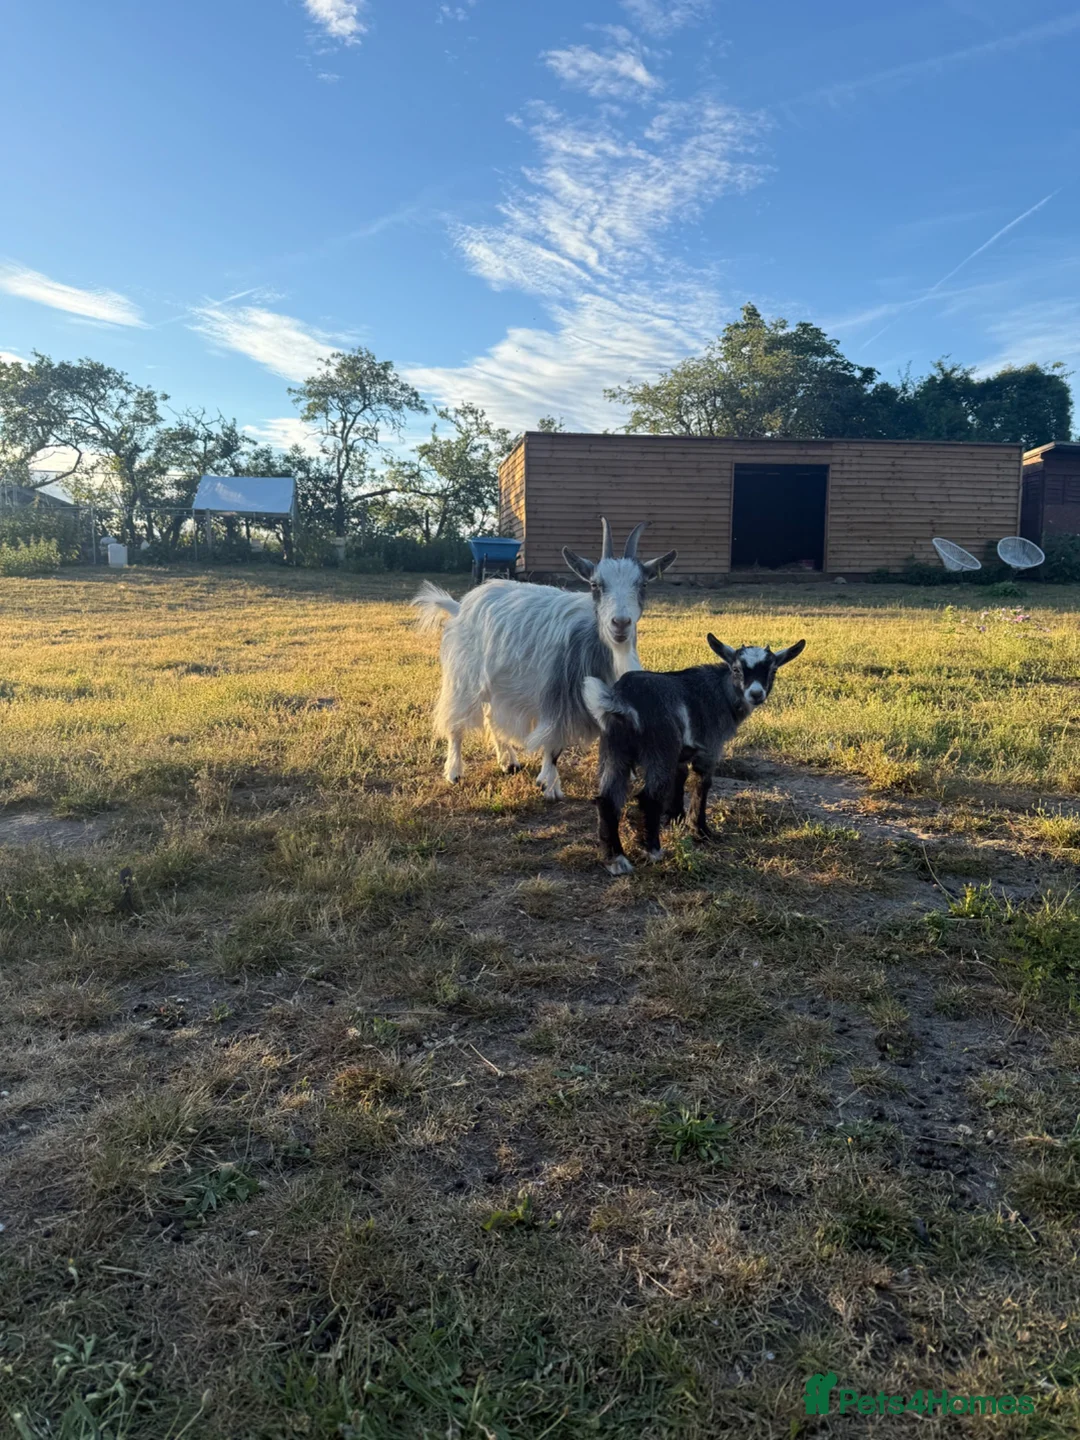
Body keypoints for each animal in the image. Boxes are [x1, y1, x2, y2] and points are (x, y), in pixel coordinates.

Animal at [412, 520, 677, 799]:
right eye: (595, 585)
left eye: (643, 585)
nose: (621, 623)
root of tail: (460, 606)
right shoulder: (557, 696)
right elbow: (553, 744)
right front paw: (549, 785)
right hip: (463, 676)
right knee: (456, 722)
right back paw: (454, 771)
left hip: (500, 683)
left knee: (492, 716)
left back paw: (508, 761)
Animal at [583, 634, 806, 873]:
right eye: (736, 669)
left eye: (773, 671)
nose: (756, 694)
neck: (722, 692)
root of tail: (622, 700)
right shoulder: (710, 748)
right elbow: (702, 783)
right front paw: (700, 831)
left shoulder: (681, 754)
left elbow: (680, 777)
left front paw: (675, 817)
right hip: (660, 749)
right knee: (649, 797)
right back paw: (652, 850)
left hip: (614, 750)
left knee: (607, 800)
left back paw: (615, 858)